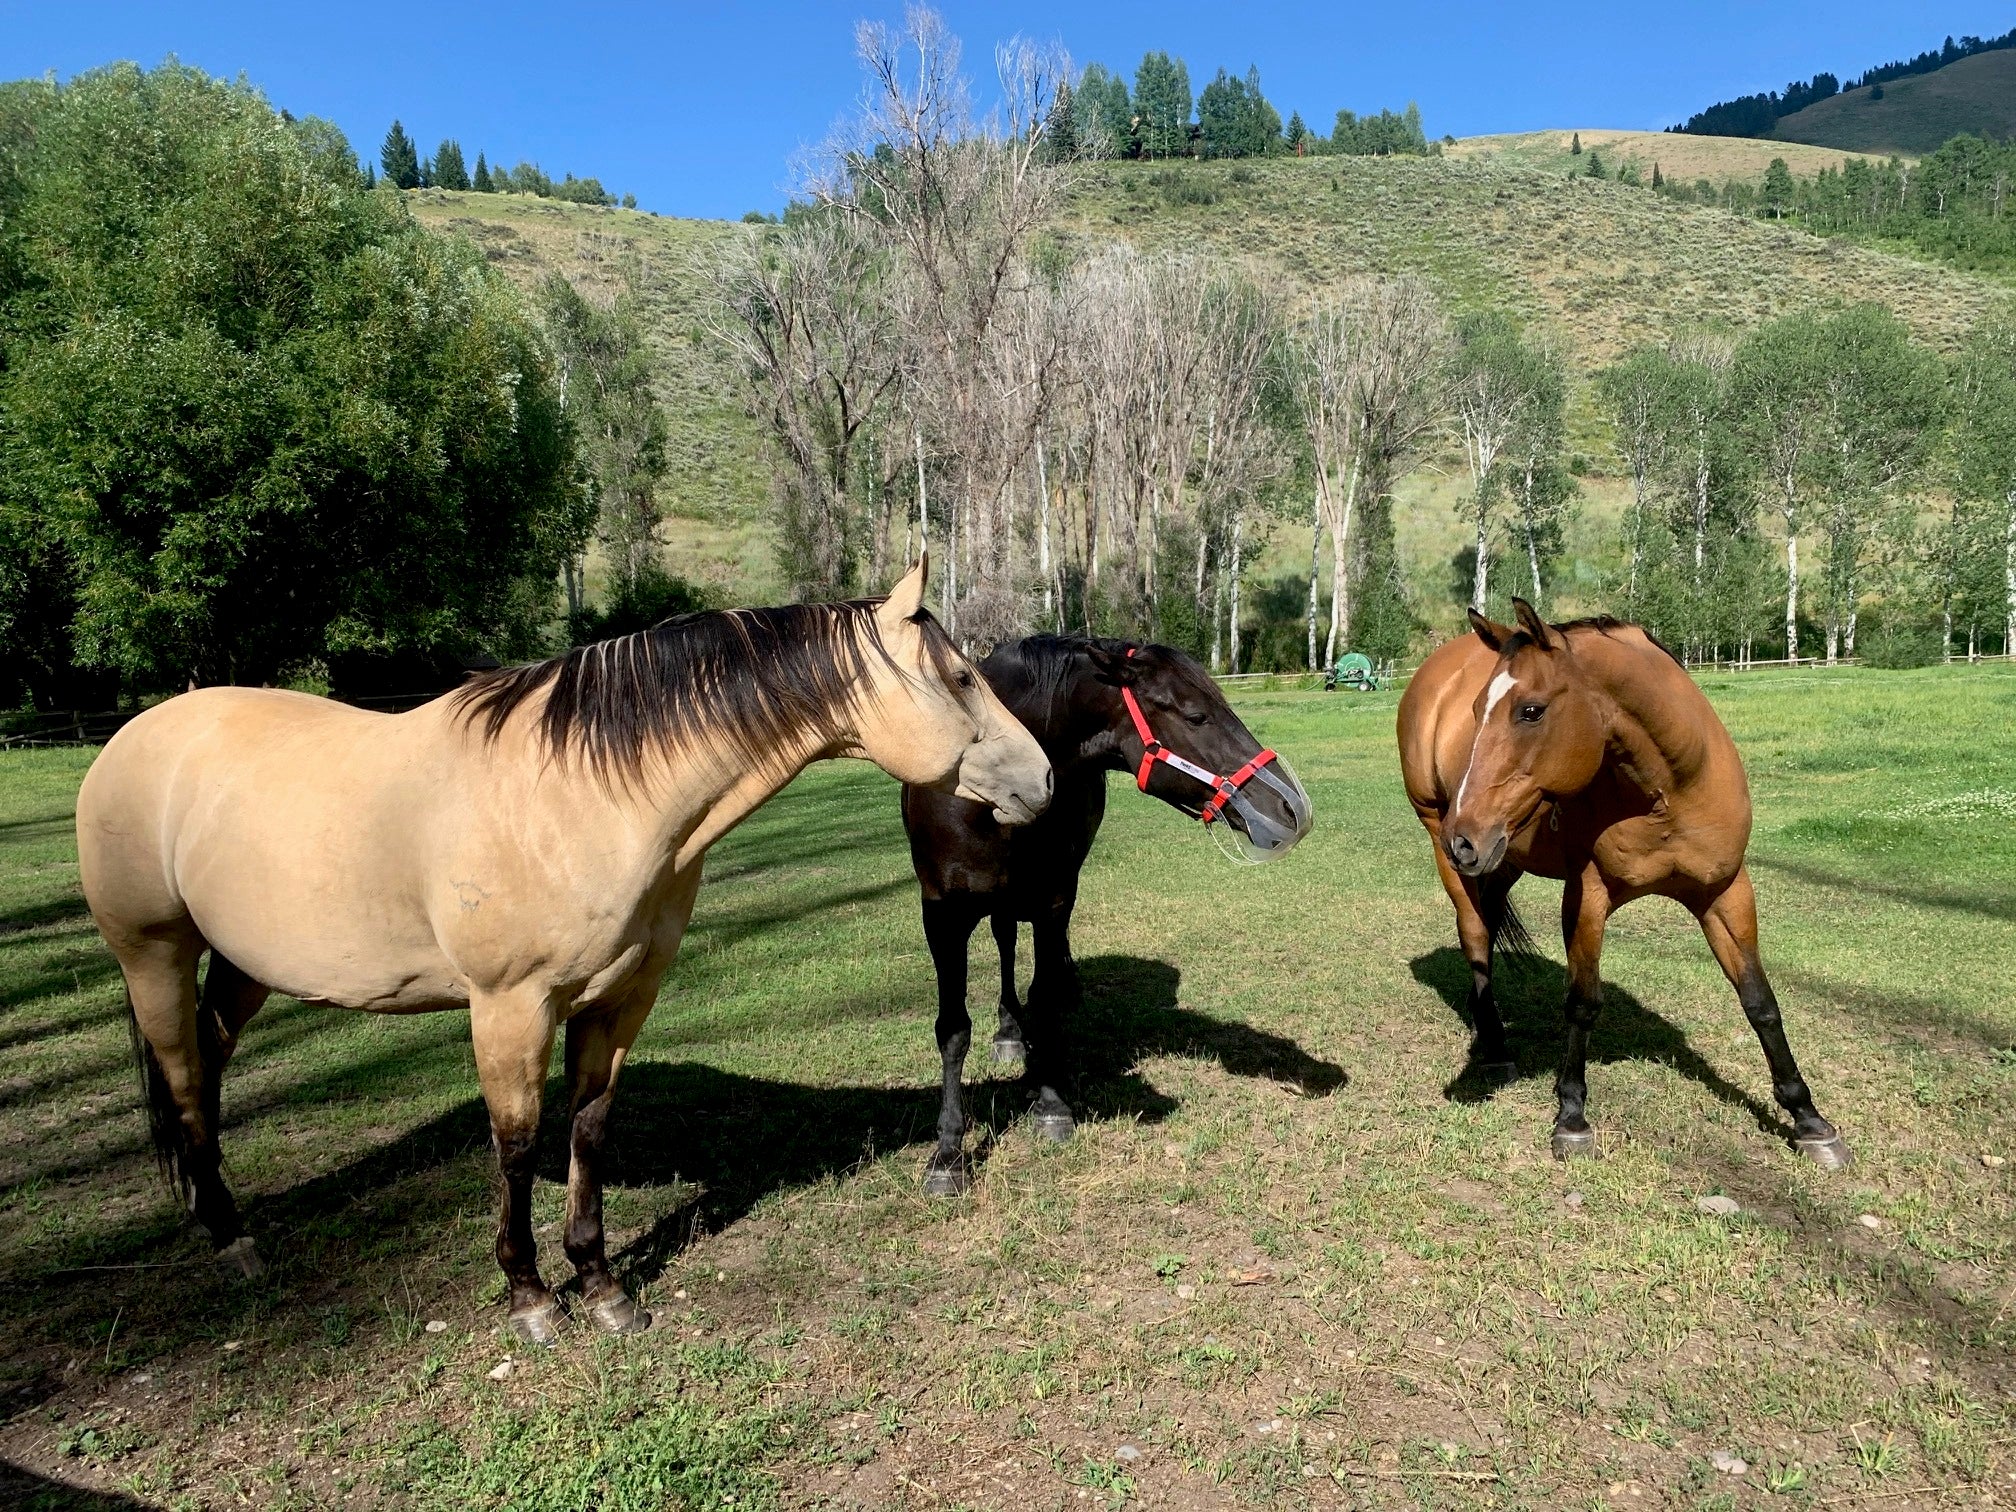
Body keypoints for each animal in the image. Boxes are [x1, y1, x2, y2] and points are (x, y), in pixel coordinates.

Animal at [77, 558, 1052, 1345]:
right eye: (962, 676)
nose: (1042, 778)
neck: (587, 793)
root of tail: (133, 737)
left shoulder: (620, 998)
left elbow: (588, 1127)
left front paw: (603, 1286)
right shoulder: (511, 1007)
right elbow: (516, 1146)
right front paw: (531, 1297)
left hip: (243, 968)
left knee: (207, 1066)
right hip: (153, 954)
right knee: (184, 1079)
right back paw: (231, 1241)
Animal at [901, 636, 1313, 1194]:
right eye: (1197, 715)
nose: (1293, 809)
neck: (990, 796)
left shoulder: (1052, 901)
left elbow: (1046, 1000)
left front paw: (1051, 1102)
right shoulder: (941, 915)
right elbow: (953, 1029)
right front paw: (947, 1152)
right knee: (1006, 941)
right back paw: (1009, 1032)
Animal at [1396, 598, 1849, 1168]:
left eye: (1531, 711)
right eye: (1477, 710)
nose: (1464, 836)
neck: (1670, 789)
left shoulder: (1726, 893)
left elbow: (1760, 1002)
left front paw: (1809, 1119)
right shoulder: (1587, 897)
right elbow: (1582, 1001)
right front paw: (1571, 1115)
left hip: (1500, 857)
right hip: (1450, 850)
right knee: (1476, 936)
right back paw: (1496, 1049)